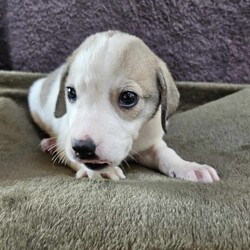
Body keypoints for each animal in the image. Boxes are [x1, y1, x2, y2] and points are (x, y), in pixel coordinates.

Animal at [28, 31, 220, 184]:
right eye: (71, 92)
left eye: (128, 97)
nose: (82, 148)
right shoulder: (66, 140)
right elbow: (69, 154)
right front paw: (100, 170)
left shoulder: (151, 142)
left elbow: (166, 153)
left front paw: (188, 167)